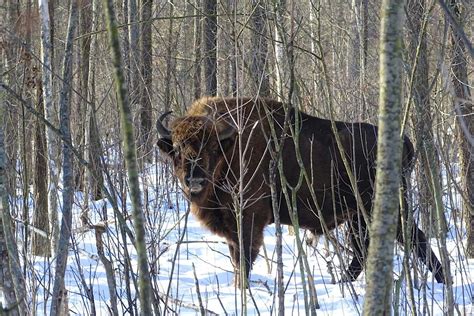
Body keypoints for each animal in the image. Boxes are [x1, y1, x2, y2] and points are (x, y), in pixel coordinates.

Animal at [156, 97, 444, 288]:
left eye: (212, 146)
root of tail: (405, 141)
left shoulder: (248, 219)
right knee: (368, 249)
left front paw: (242, 289)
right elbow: (236, 256)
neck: (233, 147)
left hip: (381, 208)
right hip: (358, 214)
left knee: (414, 239)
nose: (193, 179)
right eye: (177, 148)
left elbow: (244, 258)